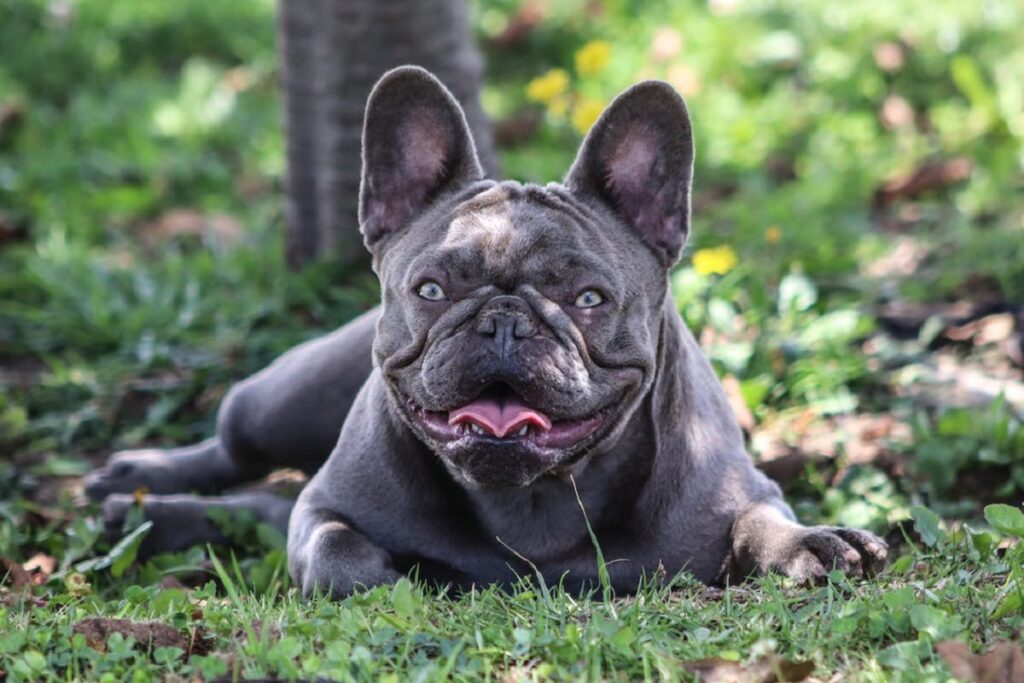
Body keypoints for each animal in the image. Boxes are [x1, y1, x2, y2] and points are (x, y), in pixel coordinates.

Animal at [86, 65, 888, 598]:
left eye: (589, 298)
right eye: (432, 291)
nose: (504, 321)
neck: (532, 500)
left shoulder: (734, 493)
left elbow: (760, 520)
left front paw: (814, 542)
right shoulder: (329, 504)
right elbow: (335, 546)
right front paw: (388, 578)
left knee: (259, 502)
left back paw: (148, 517)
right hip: (281, 401)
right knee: (237, 451)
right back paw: (138, 486)